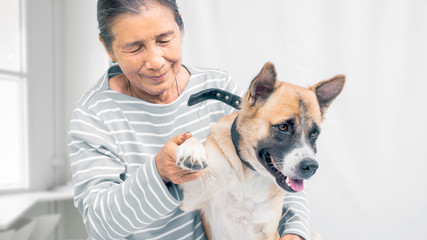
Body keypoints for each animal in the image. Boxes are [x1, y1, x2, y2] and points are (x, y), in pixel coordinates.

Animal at [176, 62, 346, 240]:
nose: (311, 167)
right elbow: (192, 139)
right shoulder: (193, 195)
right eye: (283, 127)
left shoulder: (268, 231)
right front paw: (191, 150)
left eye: (314, 133)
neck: (251, 175)